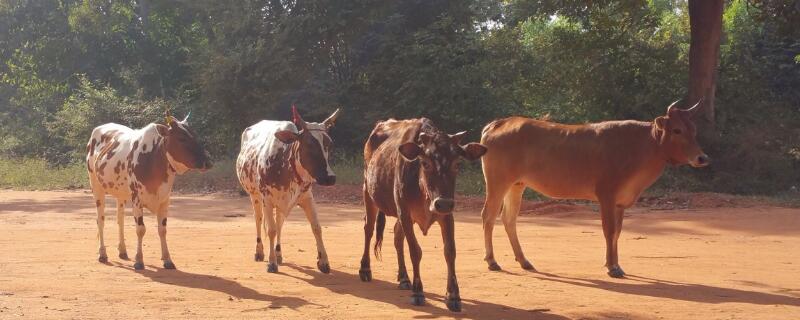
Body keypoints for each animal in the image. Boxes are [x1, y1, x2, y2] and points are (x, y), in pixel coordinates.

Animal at [87, 112, 212, 270]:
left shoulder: (164, 199)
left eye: (195, 135)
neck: (153, 159)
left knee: (120, 220)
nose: (208, 162)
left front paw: (167, 259)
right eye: (181, 138)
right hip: (96, 187)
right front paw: (139, 260)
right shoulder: (137, 200)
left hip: (121, 195)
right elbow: (140, 229)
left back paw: (122, 250)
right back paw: (102, 253)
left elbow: (162, 229)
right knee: (100, 220)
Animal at [236, 106, 340, 274]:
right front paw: (271, 263)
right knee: (259, 220)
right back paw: (259, 252)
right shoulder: (267, 200)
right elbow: (271, 230)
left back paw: (278, 253)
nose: (330, 178)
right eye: (309, 144)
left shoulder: (306, 198)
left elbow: (316, 228)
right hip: (255, 196)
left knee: (279, 223)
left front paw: (323, 261)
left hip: (281, 205)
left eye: (329, 144)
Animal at [360, 117, 488, 310]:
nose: (443, 203)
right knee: (368, 229)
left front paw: (453, 295)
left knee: (397, 237)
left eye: (457, 163)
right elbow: (415, 251)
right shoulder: (404, 212)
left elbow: (450, 251)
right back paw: (365, 269)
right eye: (425, 163)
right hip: (368, 192)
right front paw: (418, 291)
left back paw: (404, 278)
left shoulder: (446, 215)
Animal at [478, 99, 708, 278]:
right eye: (677, 130)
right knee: (488, 216)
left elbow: (618, 232)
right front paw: (612, 268)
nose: (702, 158)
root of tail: (499, 123)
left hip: (516, 185)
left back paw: (524, 261)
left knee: (509, 218)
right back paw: (492, 261)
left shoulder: (620, 202)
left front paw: (615, 264)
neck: (641, 145)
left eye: (694, 130)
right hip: (497, 182)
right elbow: (609, 230)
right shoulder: (606, 195)